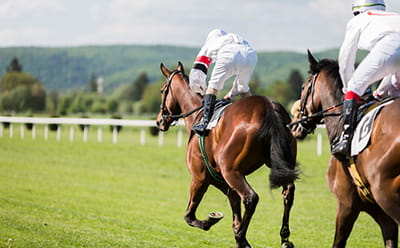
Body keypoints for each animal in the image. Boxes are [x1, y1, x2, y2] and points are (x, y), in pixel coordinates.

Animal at [156, 62, 300, 248]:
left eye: (162, 91)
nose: (159, 121)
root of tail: (268, 107)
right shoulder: (223, 181)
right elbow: (235, 213)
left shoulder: (200, 177)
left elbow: (189, 216)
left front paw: (211, 220)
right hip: (279, 165)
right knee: (288, 192)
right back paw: (284, 238)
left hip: (230, 171)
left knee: (251, 197)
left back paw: (241, 236)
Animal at [290, 50, 400, 248]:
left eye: (303, 87)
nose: (295, 125)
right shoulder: (383, 215)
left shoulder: (346, 204)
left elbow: (338, 242)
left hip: (387, 194)